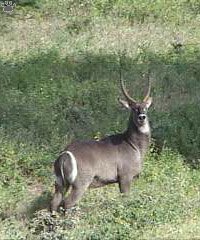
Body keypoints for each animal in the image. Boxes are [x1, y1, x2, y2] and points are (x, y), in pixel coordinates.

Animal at [50, 77, 152, 214]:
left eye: (145, 107)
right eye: (134, 108)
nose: (142, 117)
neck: (134, 145)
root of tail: (64, 155)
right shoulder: (125, 176)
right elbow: (125, 199)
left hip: (60, 184)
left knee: (54, 203)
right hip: (80, 184)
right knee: (66, 203)